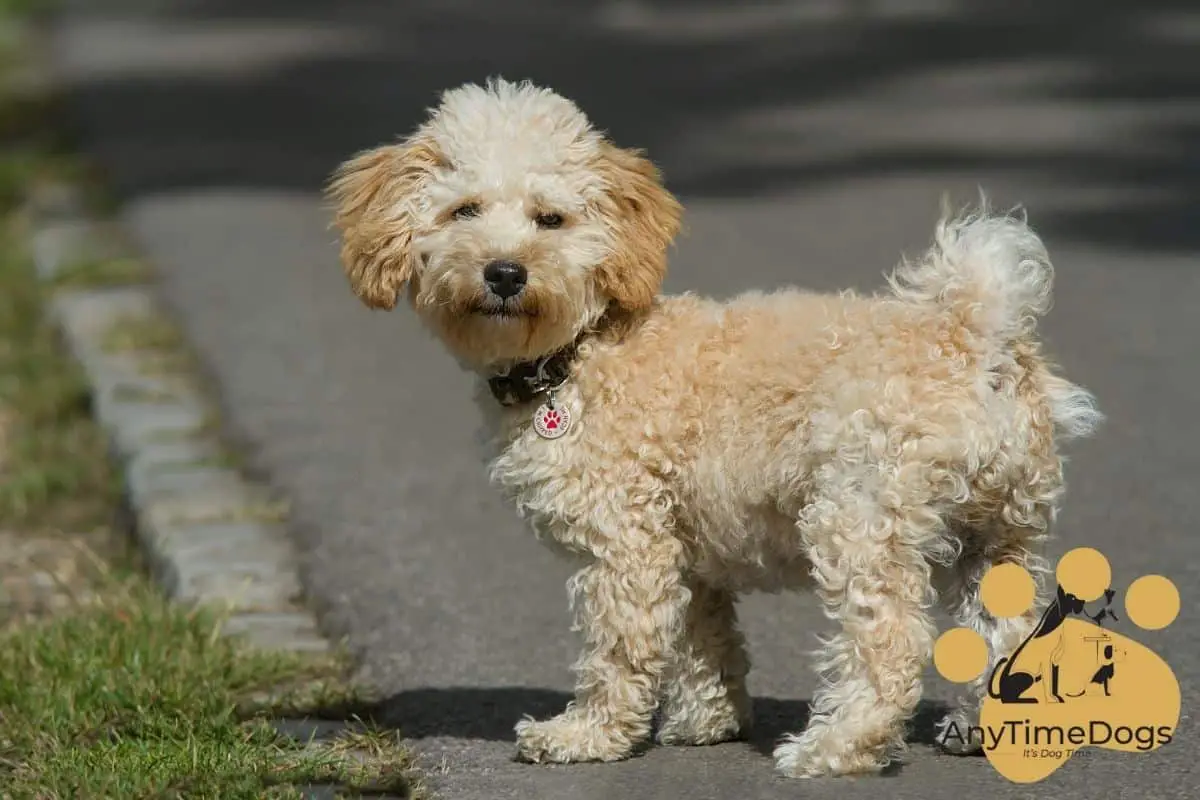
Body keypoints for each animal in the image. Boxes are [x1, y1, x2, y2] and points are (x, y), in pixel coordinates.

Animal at [324, 77, 1099, 777]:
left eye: (551, 220)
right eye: (464, 210)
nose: (505, 272)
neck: (580, 351)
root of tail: (975, 333)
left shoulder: (626, 543)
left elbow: (621, 648)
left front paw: (587, 735)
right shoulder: (685, 546)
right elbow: (704, 640)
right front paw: (706, 722)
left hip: (860, 516)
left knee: (889, 643)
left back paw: (835, 748)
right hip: (999, 533)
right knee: (1007, 630)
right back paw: (985, 728)